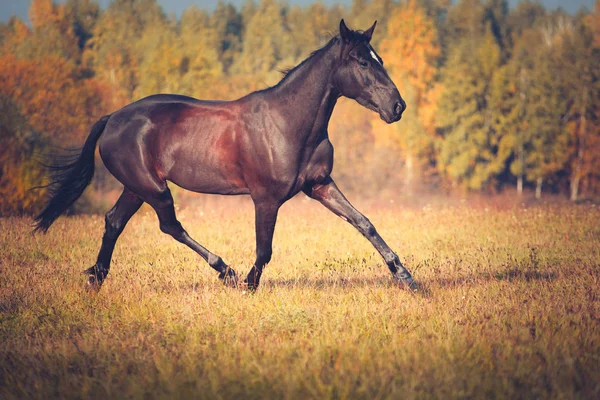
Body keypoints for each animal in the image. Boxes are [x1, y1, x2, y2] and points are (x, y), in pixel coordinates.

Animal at [34, 19, 418, 290]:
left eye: (379, 59)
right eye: (361, 62)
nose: (397, 106)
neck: (287, 123)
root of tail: (113, 117)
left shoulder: (320, 185)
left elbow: (363, 222)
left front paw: (406, 276)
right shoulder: (266, 198)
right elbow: (265, 249)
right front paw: (249, 285)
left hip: (137, 187)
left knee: (114, 221)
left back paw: (95, 279)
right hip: (153, 189)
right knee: (169, 225)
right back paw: (226, 271)